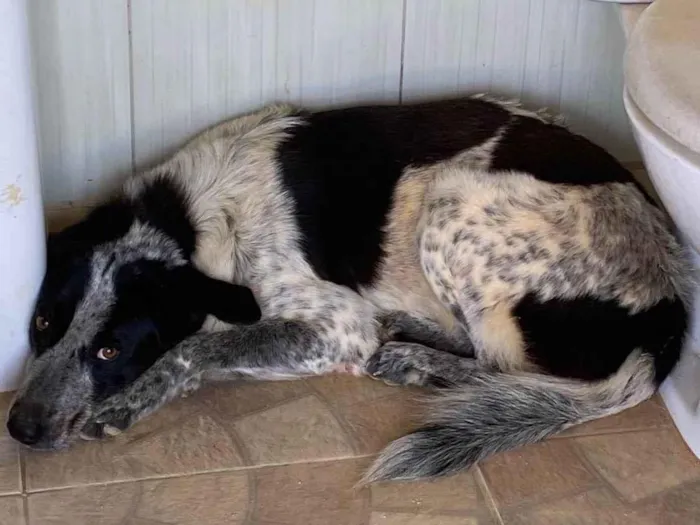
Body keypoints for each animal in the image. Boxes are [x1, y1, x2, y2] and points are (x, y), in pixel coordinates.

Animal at [6, 95, 696, 484]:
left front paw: (133, 398)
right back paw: (408, 336)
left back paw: (413, 360)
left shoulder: (335, 326)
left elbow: (196, 348)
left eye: (110, 351)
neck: (187, 218)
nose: (19, 428)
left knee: (501, 364)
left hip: (451, 199)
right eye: (41, 324)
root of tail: (670, 306)